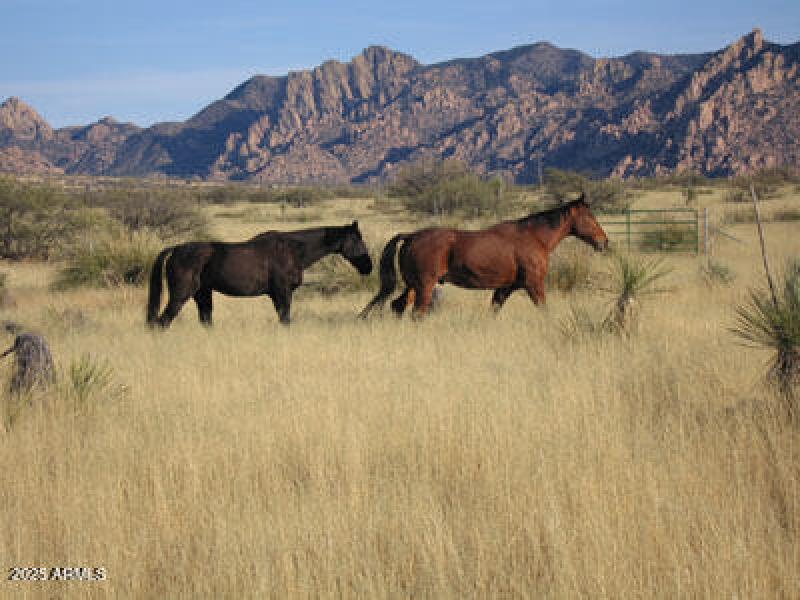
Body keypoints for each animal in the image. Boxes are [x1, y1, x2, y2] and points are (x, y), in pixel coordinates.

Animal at [147, 221, 372, 328]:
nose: (368, 267)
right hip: (180, 296)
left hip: (202, 295)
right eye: (358, 240)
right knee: (162, 322)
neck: (293, 250)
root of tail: (176, 249)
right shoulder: (283, 293)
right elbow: (285, 320)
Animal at [360, 195, 608, 318]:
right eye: (589, 217)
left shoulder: (505, 288)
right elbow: (544, 311)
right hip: (424, 286)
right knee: (416, 313)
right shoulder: (534, 285)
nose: (604, 242)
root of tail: (411, 236)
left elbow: (493, 311)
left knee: (397, 306)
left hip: (412, 286)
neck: (535, 237)